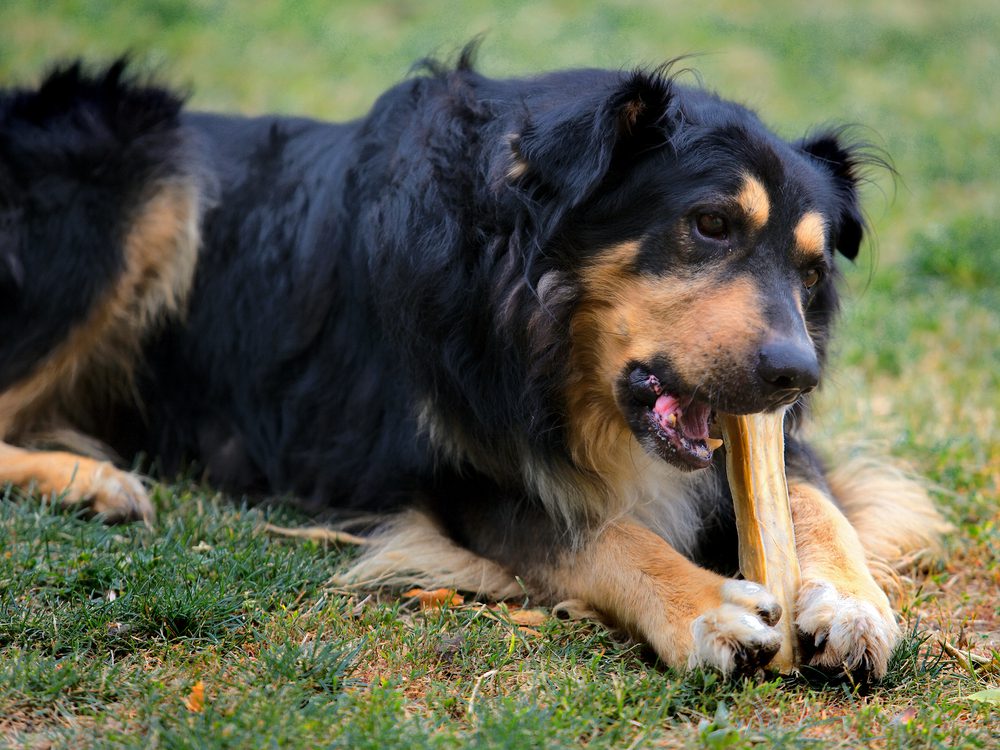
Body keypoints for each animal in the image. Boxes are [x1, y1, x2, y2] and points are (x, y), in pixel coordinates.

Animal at [0, 50, 952, 680]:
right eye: (711, 224)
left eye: (811, 269)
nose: (798, 375)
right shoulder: (447, 468)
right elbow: (591, 531)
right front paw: (701, 607)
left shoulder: (761, 435)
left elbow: (811, 496)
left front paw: (852, 600)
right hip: (137, 165)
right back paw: (85, 481)